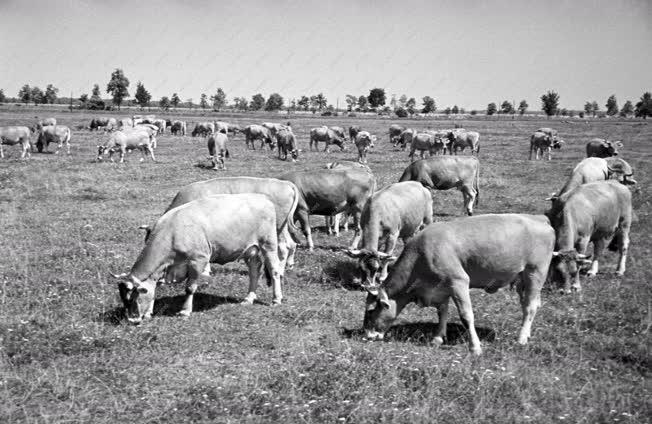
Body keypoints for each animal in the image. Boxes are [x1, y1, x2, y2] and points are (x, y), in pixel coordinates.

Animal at [112, 194, 286, 322]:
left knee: (274, 270)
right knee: (254, 271)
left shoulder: (198, 260)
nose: (132, 320)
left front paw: (185, 311)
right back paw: (249, 298)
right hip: (250, 250)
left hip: (268, 243)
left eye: (136, 296)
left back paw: (276, 299)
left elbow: (190, 288)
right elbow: (155, 288)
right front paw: (149, 312)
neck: (173, 230)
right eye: (124, 299)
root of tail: (262, 198)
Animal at [143, 176, 300, 270]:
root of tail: (286, 184)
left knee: (284, 247)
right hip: (283, 226)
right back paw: (289, 265)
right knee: (291, 244)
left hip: (277, 227)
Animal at [362, 214, 556, 356]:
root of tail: (540, 219)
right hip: (522, 280)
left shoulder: (458, 281)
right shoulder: (441, 287)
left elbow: (466, 316)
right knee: (528, 304)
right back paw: (527, 334)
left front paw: (475, 347)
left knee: (530, 307)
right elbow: (442, 312)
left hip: (535, 273)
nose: (366, 335)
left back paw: (521, 338)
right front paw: (438, 338)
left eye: (371, 310)